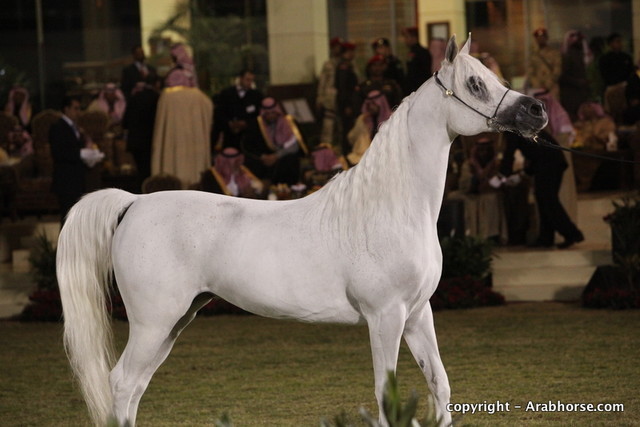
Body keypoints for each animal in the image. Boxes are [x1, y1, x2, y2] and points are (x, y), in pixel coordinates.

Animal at [57, 35, 547, 426]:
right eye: (475, 84)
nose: (537, 110)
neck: (390, 207)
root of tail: (134, 202)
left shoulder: (417, 315)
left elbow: (439, 387)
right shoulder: (385, 317)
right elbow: (385, 398)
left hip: (174, 322)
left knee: (135, 388)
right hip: (153, 322)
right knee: (122, 383)